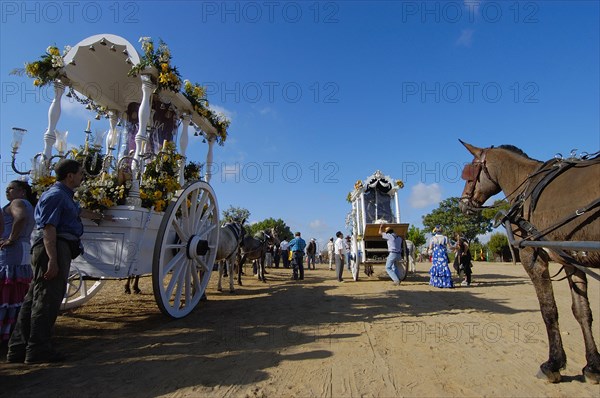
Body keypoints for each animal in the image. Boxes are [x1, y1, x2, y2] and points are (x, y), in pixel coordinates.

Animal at [458, 141, 596, 384]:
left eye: (469, 174)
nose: (462, 204)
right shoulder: (573, 261)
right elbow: (582, 311)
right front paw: (592, 366)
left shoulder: (534, 258)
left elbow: (549, 310)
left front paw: (553, 364)